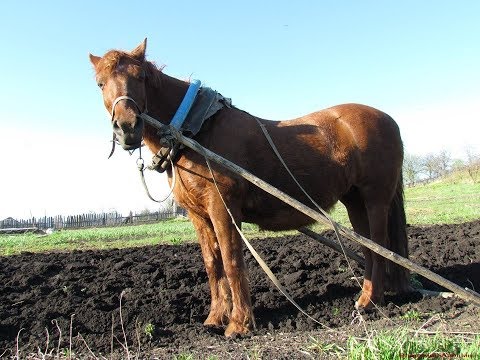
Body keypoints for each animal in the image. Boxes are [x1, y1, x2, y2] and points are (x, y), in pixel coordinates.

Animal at [91, 39, 412, 338]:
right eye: (100, 83)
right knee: (367, 246)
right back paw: (367, 296)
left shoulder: (223, 208)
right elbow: (213, 264)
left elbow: (232, 260)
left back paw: (371, 301)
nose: (126, 127)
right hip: (354, 200)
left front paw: (239, 323)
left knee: (380, 246)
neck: (195, 132)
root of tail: (389, 121)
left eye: (140, 77)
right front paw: (215, 319)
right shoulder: (199, 215)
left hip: (375, 198)